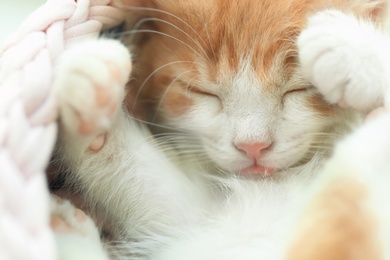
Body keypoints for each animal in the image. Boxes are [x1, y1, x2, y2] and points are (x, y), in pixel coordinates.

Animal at [51, 0, 390, 258]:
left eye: (299, 88)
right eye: (201, 91)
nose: (253, 146)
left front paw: (350, 48)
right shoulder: (207, 227)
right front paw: (85, 86)